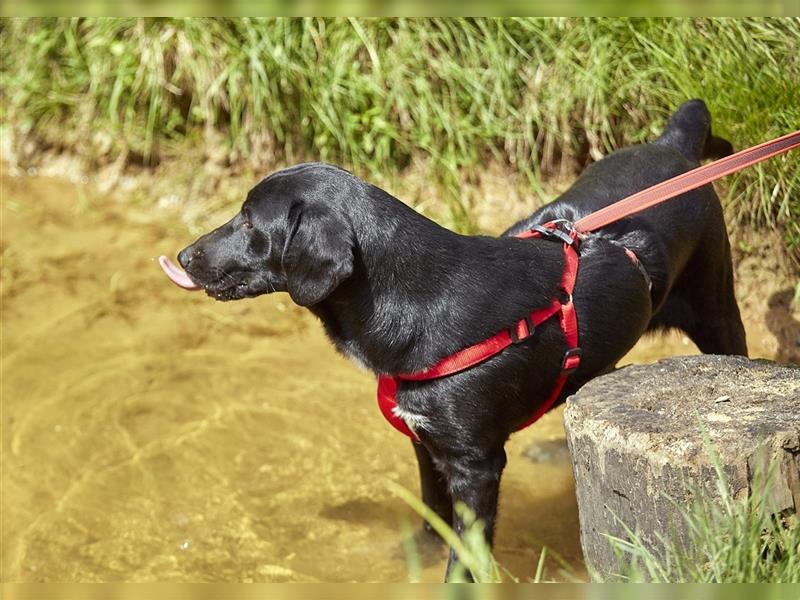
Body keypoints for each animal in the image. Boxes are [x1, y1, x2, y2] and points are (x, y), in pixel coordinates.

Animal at [173, 101, 744, 580]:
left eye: (250, 221)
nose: (182, 256)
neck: (414, 299)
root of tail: (672, 143)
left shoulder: (475, 464)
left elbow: (466, 556)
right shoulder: (425, 442)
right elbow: (432, 518)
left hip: (717, 309)